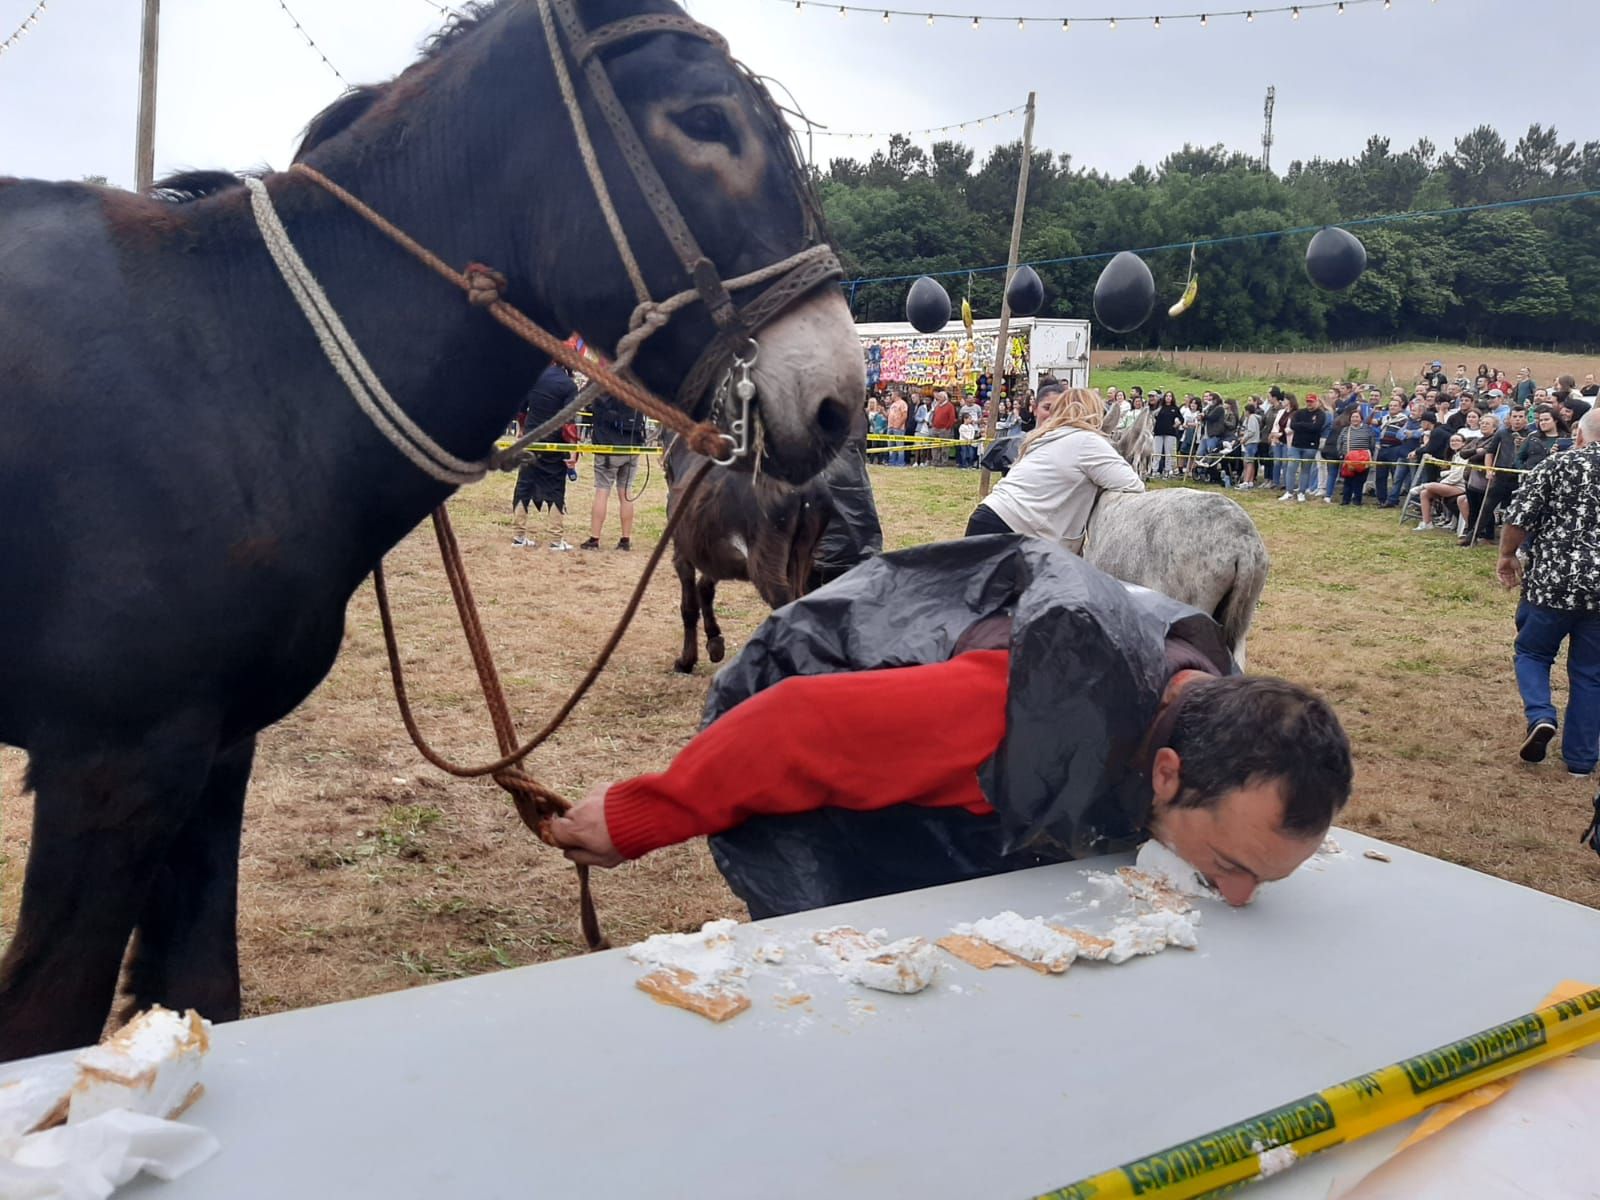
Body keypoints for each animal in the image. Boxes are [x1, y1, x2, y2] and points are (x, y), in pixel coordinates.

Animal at [0, 0, 864, 1062]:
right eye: (706, 121)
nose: (838, 400)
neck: (232, 367)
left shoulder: (213, 750)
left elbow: (202, 990)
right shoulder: (110, 771)